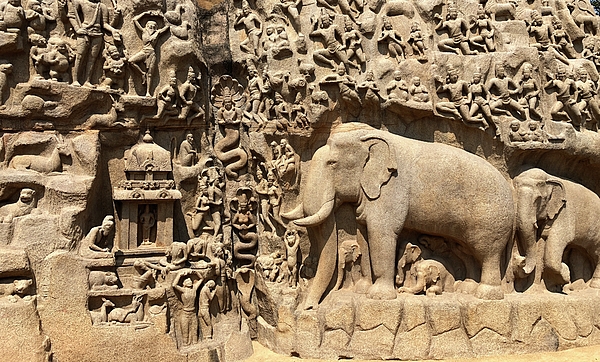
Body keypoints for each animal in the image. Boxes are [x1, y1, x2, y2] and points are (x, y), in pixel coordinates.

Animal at [282, 122, 516, 308]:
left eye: (332, 163)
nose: (309, 308)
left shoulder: (391, 189)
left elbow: (382, 235)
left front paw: (379, 297)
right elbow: (364, 236)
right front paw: (362, 290)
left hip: (490, 219)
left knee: (487, 253)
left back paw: (486, 295)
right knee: (466, 251)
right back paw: (466, 287)